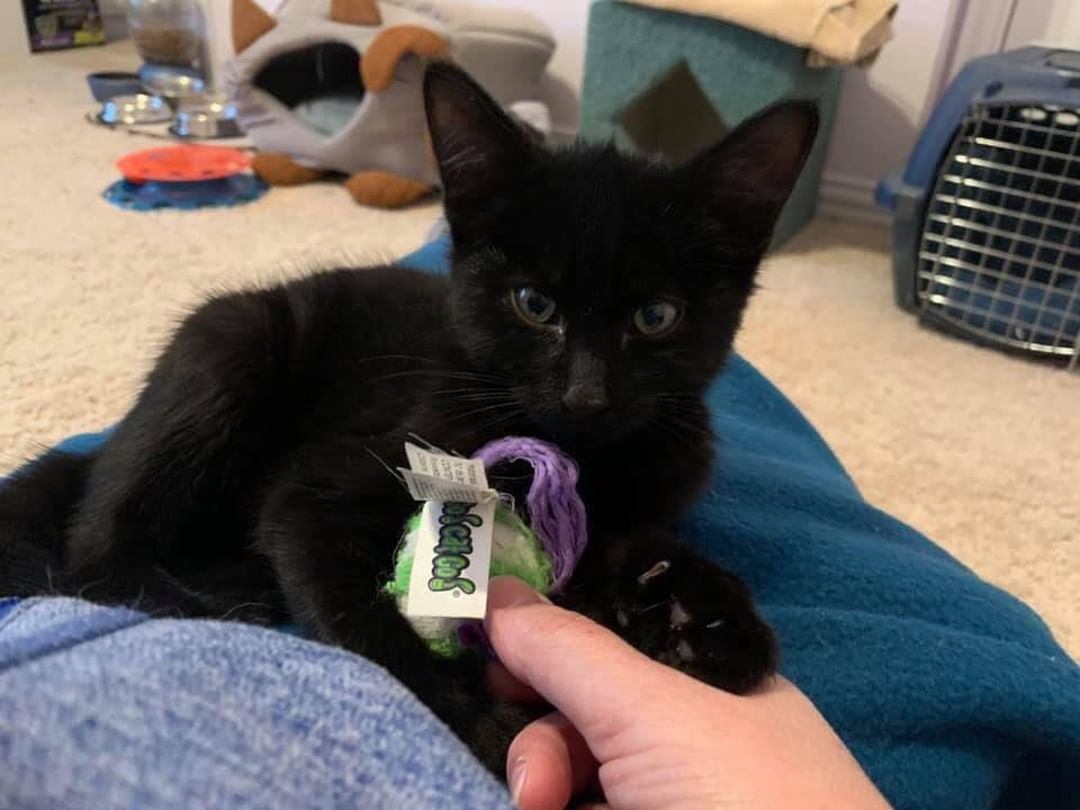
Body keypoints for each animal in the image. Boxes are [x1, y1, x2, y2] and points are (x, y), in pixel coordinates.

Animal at [0, 63, 816, 773]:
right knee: (90, 558)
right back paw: (211, 599)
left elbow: (628, 547)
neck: (583, 462)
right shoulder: (314, 494)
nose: (586, 396)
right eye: (533, 304)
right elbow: (363, 623)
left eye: (656, 318)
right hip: (228, 345)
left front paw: (704, 614)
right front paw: (483, 723)